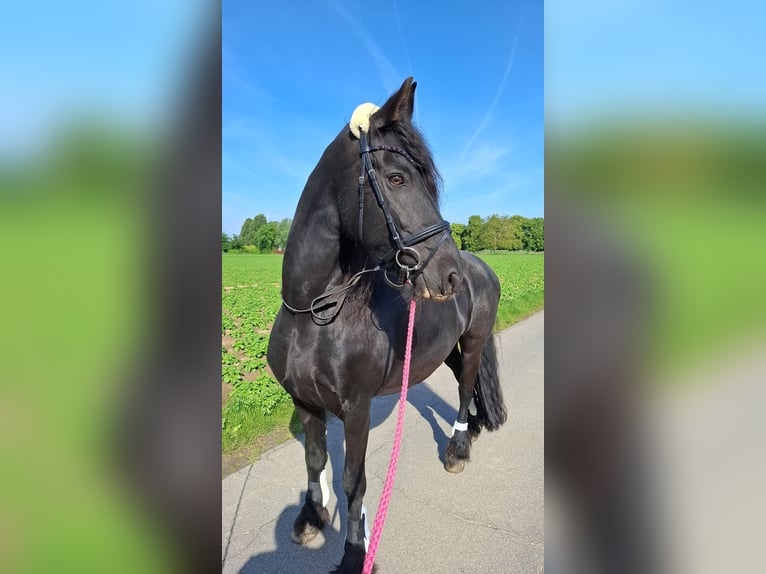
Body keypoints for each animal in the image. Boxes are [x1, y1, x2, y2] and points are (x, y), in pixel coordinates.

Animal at [267, 77, 507, 573]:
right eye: (397, 178)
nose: (449, 276)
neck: (314, 314)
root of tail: (480, 267)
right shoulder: (305, 401)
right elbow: (314, 460)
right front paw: (311, 517)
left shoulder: (356, 409)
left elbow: (353, 481)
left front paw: (354, 553)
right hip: (444, 349)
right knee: (465, 379)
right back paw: (474, 427)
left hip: (474, 340)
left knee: (465, 386)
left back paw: (458, 447)